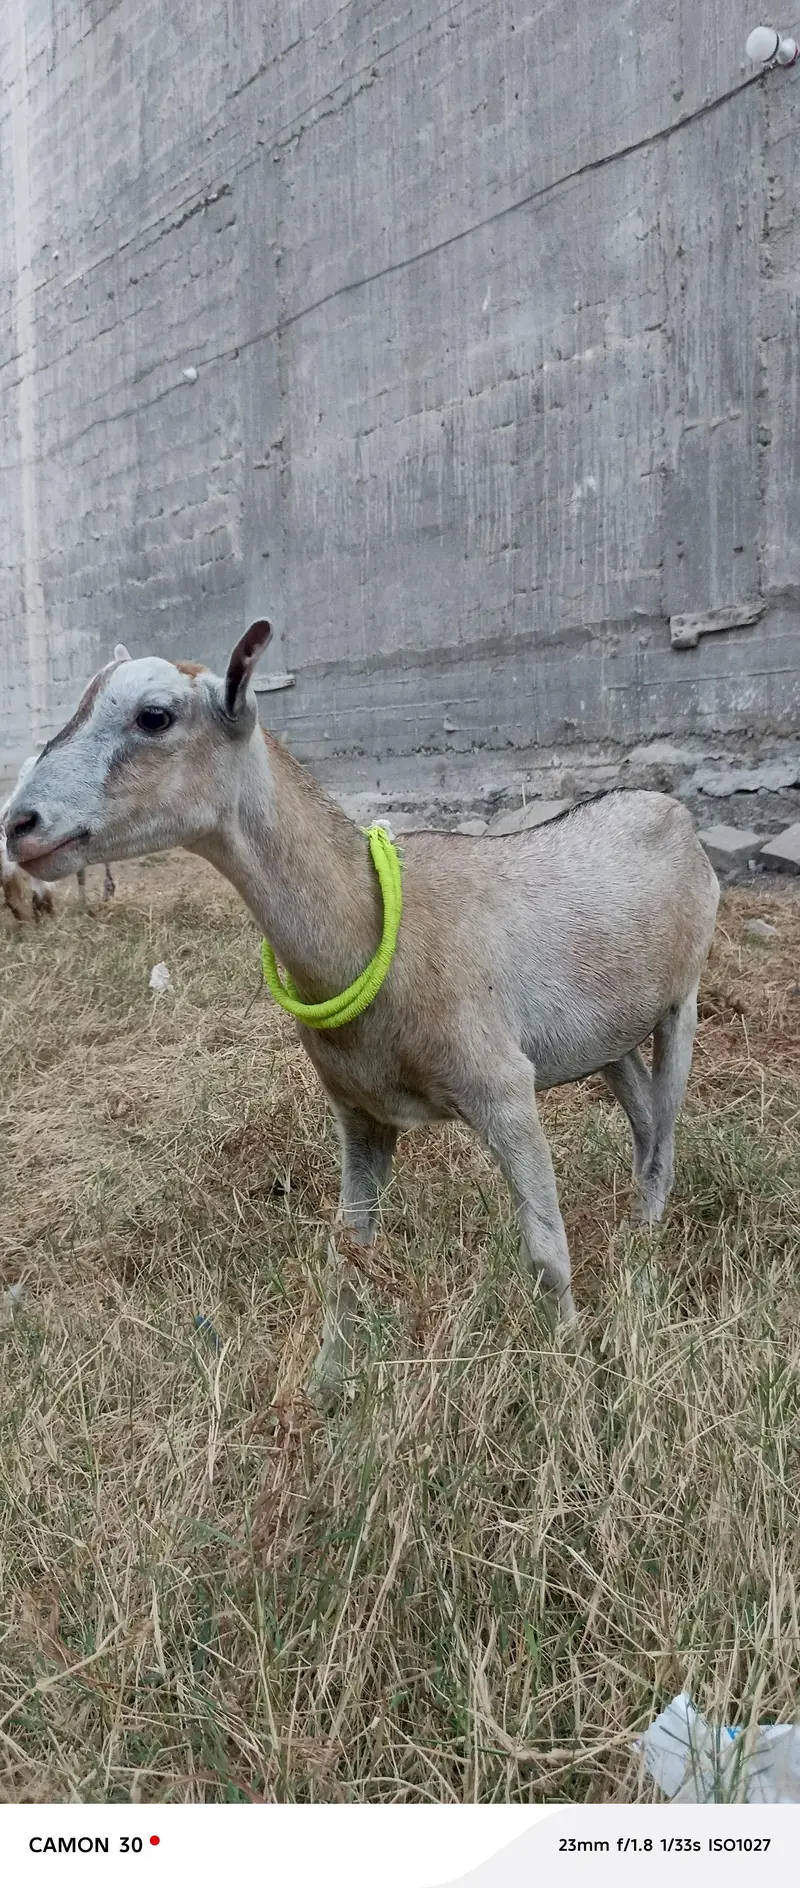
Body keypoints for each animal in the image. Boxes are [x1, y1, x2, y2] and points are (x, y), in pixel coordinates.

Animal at [3, 624, 719, 1405]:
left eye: (155, 716)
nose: (19, 824)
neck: (378, 929)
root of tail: (670, 808)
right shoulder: (360, 1112)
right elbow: (345, 1259)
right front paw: (325, 1391)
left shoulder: (502, 1088)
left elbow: (546, 1255)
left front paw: (577, 1380)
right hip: (608, 1033)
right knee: (644, 1120)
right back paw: (636, 1237)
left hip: (683, 996)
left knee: (666, 1139)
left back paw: (646, 1260)